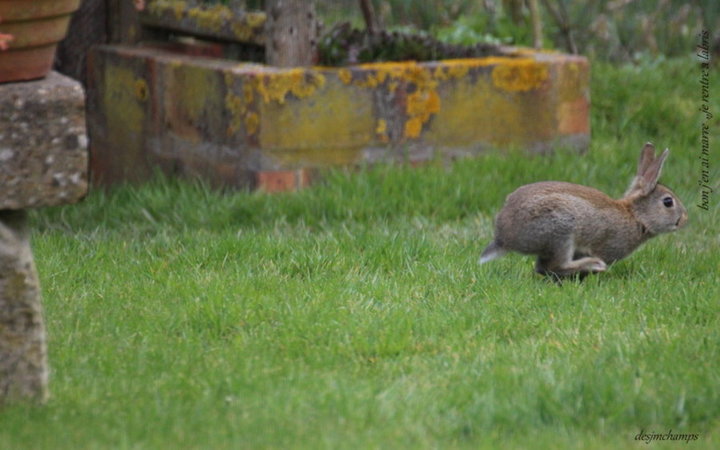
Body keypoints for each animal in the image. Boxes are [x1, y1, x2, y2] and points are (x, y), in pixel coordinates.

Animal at [478, 143, 688, 278]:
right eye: (668, 202)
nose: (685, 219)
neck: (636, 216)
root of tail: (503, 238)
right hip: (560, 231)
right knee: (553, 265)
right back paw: (594, 265)